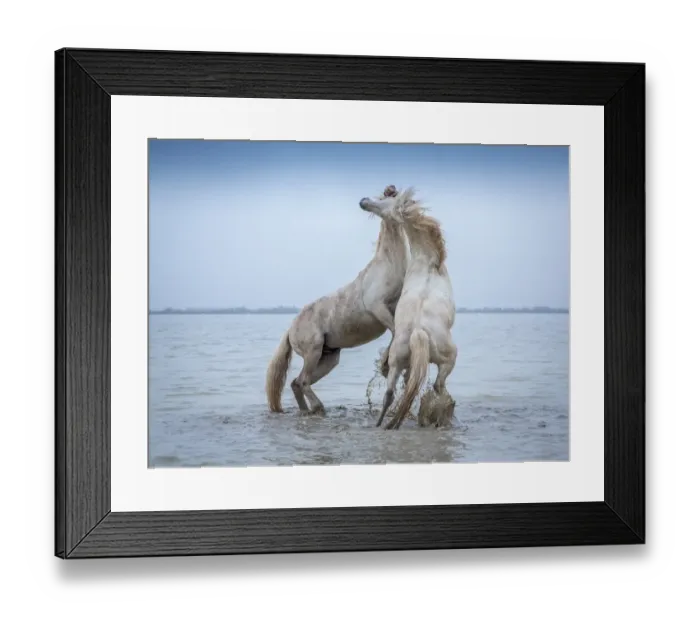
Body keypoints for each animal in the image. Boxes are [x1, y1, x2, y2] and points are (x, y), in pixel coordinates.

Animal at [265, 185, 410, 414]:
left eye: (385, 197)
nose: (363, 201)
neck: (388, 266)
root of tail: (290, 330)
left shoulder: (394, 310)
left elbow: (397, 333)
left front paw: (387, 365)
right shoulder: (377, 307)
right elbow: (395, 332)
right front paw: (385, 365)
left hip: (329, 358)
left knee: (296, 383)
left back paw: (308, 411)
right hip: (313, 351)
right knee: (302, 381)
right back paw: (318, 408)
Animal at [358, 187, 458, 430]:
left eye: (385, 197)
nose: (363, 201)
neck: (427, 262)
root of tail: (419, 332)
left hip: (400, 363)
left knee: (391, 393)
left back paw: (382, 425)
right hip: (449, 359)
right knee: (439, 388)